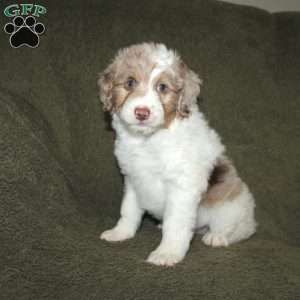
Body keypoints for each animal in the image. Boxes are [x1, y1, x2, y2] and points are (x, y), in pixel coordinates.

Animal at [98, 42, 255, 268]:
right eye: (130, 82)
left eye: (163, 87)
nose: (142, 112)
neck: (148, 140)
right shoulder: (133, 180)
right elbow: (128, 210)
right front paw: (120, 233)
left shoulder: (182, 187)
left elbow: (176, 224)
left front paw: (167, 253)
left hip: (231, 204)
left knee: (241, 229)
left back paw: (218, 236)